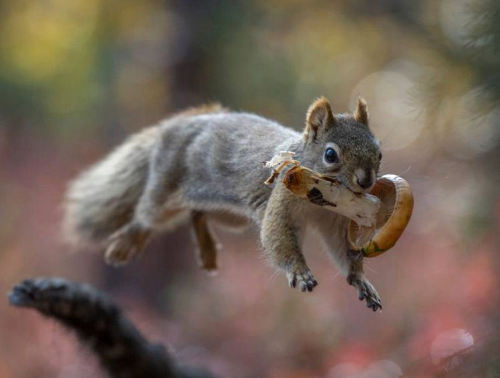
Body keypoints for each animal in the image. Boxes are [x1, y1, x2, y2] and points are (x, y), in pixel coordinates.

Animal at [62, 96, 382, 310]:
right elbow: (278, 236)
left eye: (378, 152)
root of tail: (174, 125)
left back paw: (206, 249)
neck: (322, 201)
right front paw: (300, 271)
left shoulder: (336, 221)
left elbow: (343, 250)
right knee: (146, 217)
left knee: (198, 212)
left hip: (232, 215)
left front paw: (360, 280)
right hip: (164, 190)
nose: (366, 181)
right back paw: (127, 242)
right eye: (330, 155)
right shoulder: (281, 201)